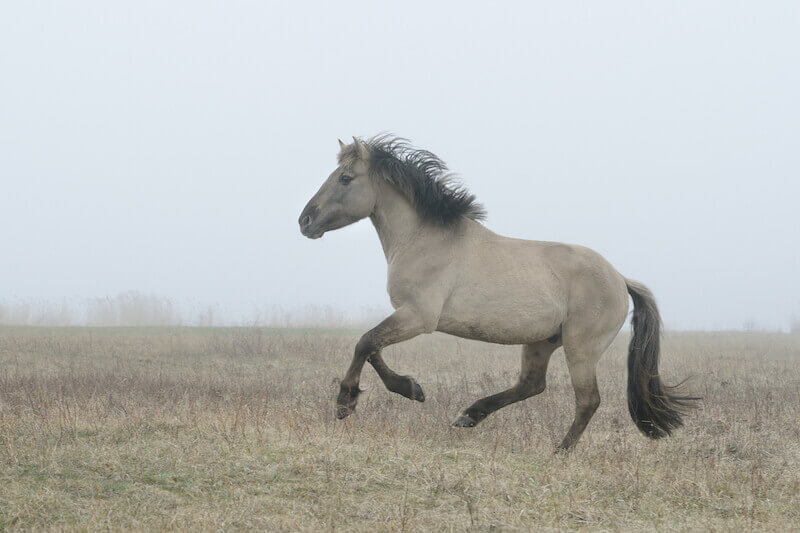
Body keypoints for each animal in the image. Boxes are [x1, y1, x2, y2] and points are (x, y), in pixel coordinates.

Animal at [299, 135, 695, 450]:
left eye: (345, 178)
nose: (304, 221)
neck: (425, 239)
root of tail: (620, 279)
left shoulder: (418, 317)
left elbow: (365, 342)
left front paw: (346, 401)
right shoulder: (409, 315)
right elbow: (373, 347)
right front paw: (412, 388)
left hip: (580, 348)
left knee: (587, 401)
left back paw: (559, 452)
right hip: (541, 341)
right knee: (532, 385)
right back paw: (470, 415)